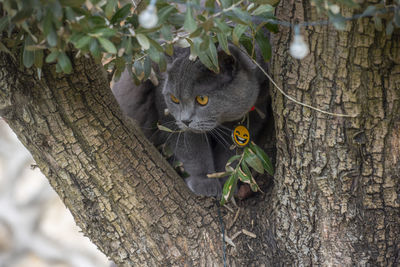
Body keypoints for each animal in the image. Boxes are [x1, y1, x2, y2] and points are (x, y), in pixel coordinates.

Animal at [111, 45, 270, 198]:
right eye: (174, 99)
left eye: (202, 99)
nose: (185, 120)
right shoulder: (166, 110)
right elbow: (192, 148)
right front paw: (205, 182)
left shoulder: (257, 111)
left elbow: (231, 150)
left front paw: (228, 182)